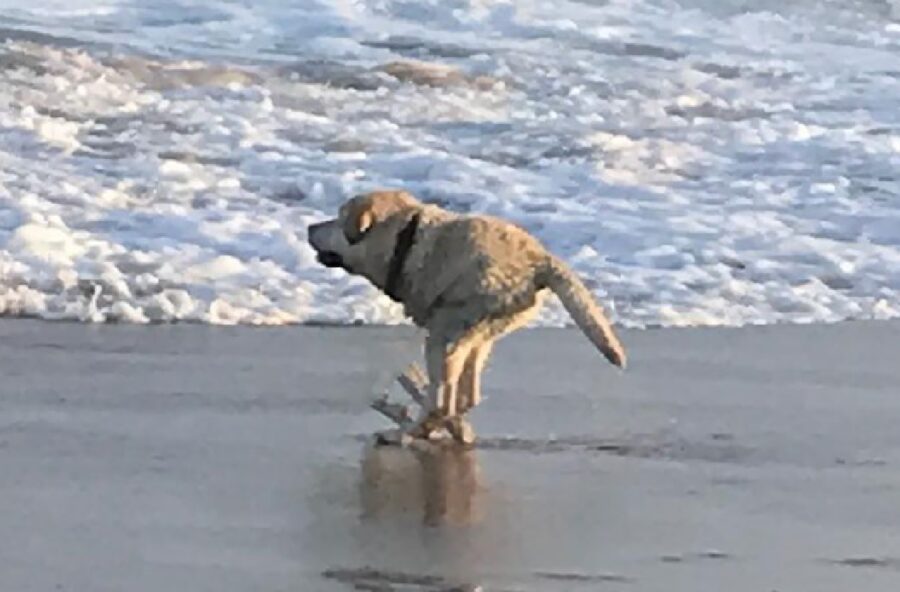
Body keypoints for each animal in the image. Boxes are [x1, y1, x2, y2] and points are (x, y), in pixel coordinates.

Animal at [310, 190, 624, 444]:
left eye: (339, 218)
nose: (310, 227)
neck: (404, 239)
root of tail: (540, 261)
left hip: (446, 331)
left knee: (443, 403)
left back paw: (405, 431)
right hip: (480, 332)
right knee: (464, 397)